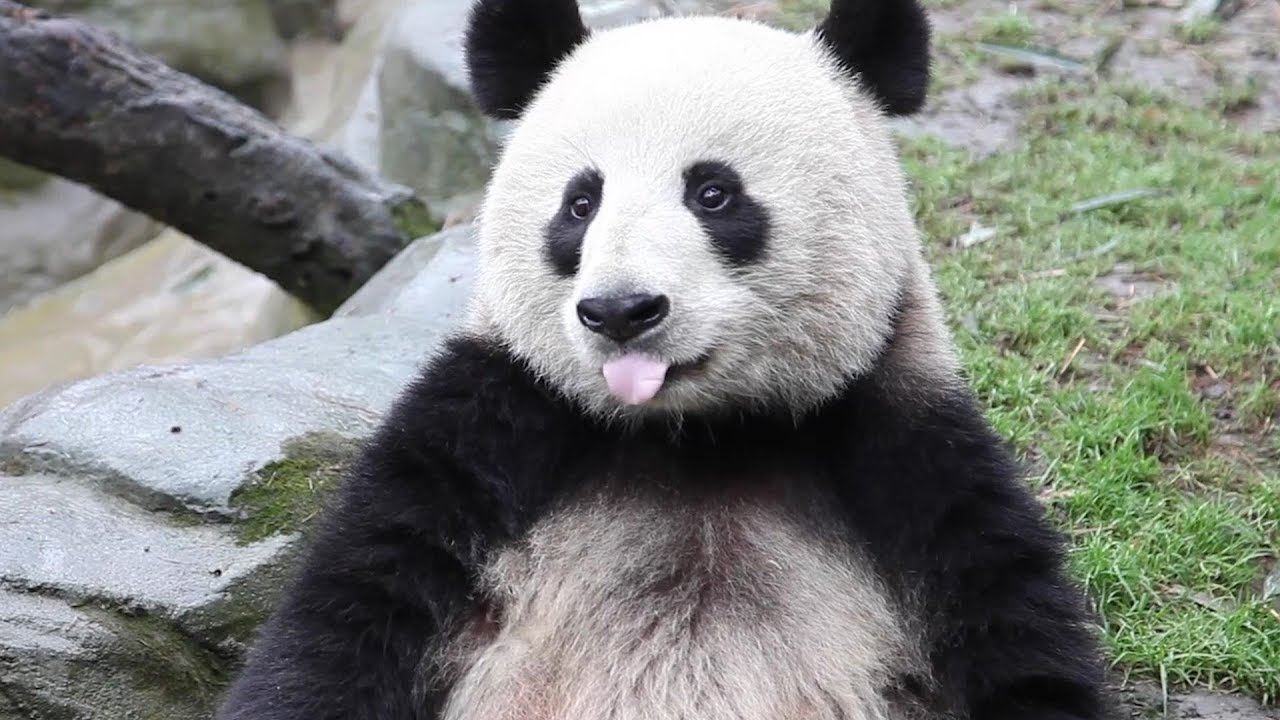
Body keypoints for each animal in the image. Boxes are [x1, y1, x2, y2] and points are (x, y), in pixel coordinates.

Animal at [215, 1, 1111, 719]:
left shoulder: (902, 444)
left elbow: (1011, 631)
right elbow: (349, 616)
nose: (621, 312)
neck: (693, 436)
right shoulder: (491, 427)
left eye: (713, 193)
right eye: (581, 203)